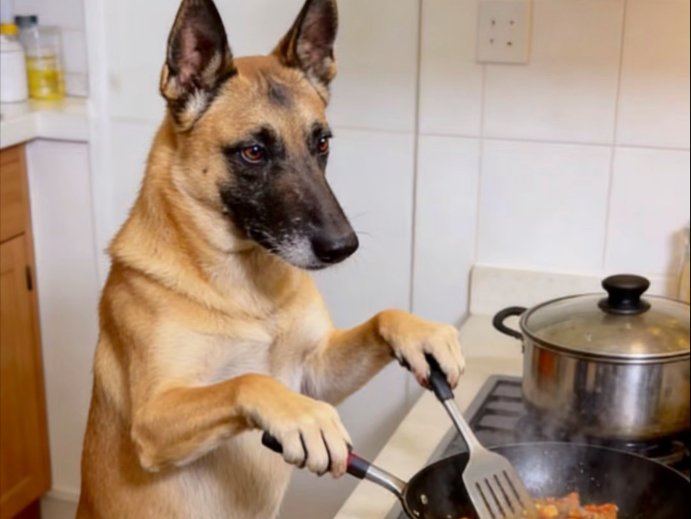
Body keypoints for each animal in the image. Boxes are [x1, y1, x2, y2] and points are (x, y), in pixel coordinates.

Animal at [76, 0, 465, 517]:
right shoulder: (154, 418)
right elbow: (247, 382)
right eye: (254, 152)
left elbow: (383, 316)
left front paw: (419, 334)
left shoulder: (317, 373)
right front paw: (302, 418)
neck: (247, 291)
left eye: (322, 143)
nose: (343, 247)